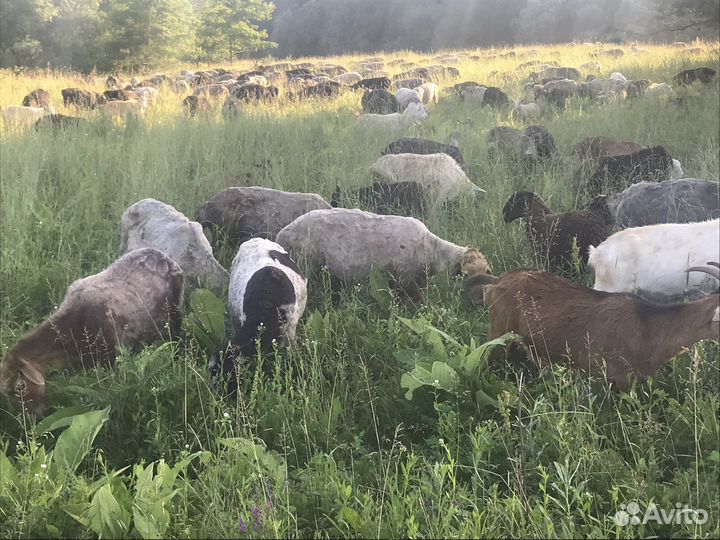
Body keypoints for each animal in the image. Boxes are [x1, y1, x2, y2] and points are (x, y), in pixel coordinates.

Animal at [275, 208, 491, 301]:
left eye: (488, 271)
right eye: (467, 275)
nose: (481, 301)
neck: (433, 250)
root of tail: (282, 234)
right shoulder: (404, 279)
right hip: (306, 262)